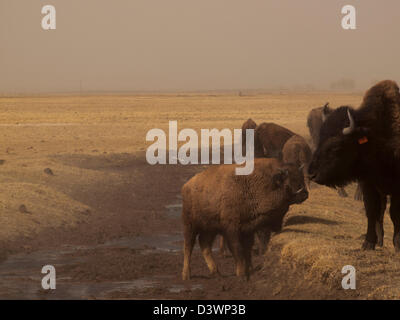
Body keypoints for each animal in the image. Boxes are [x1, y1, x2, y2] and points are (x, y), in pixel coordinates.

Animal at [182, 158, 310, 280]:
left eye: (301, 178)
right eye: (290, 181)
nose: (305, 193)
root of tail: (187, 185)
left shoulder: (248, 229)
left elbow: (247, 250)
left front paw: (249, 269)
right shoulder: (232, 229)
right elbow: (238, 249)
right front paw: (241, 273)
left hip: (210, 229)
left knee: (204, 244)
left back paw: (216, 273)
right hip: (190, 225)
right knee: (189, 246)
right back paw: (186, 275)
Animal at [310, 80, 400, 250]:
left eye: (336, 146)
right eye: (320, 138)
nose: (312, 174)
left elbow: (394, 213)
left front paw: (397, 243)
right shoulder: (368, 184)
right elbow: (371, 210)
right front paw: (368, 242)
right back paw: (380, 240)